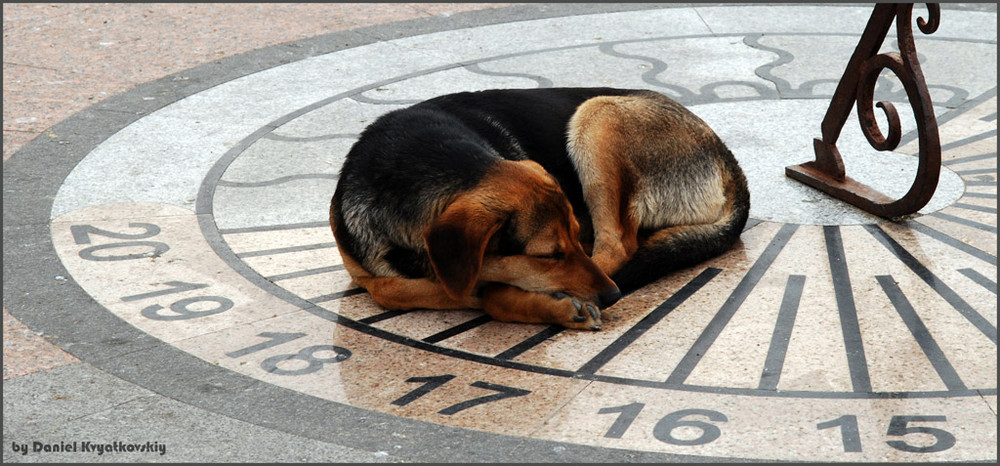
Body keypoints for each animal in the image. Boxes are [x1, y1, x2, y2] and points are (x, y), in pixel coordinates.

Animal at [332, 86, 748, 328]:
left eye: (574, 239)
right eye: (549, 255)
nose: (613, 297)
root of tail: (727, 159)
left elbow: (481, 291)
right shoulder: (367, 274)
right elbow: (392, 288)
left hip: (598, 115)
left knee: (617, 245)